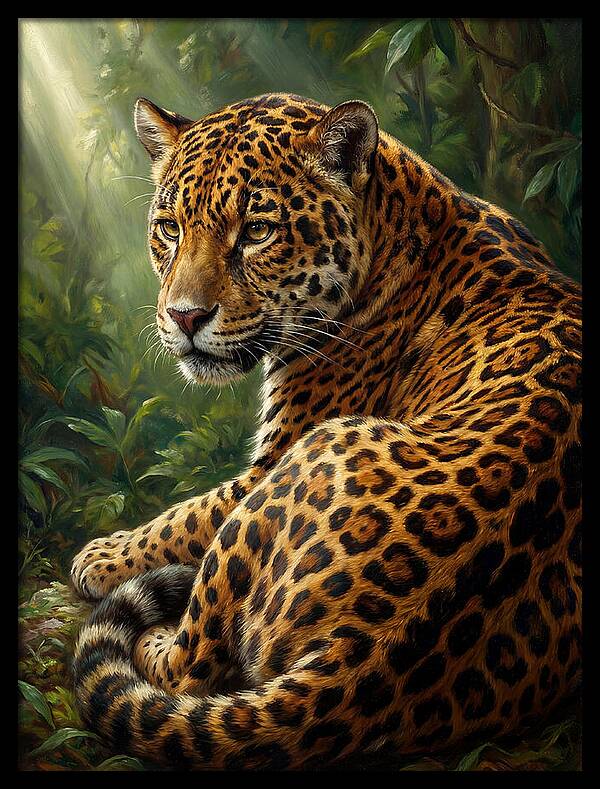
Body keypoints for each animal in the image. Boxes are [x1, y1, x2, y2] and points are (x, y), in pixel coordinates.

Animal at [70, 92, 582, 770]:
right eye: (171, 227)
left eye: (257, 231)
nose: (184, 316)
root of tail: (363, 658)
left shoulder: (273, 458)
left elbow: (187, 515)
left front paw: (103, 556)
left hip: (305, 461)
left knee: (191, 667)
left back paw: (156, 630)